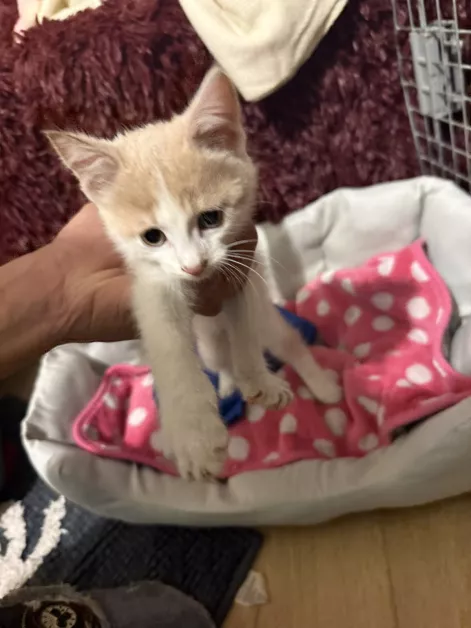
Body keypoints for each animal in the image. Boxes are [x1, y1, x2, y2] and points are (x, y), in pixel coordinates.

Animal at [47, 67, 342, 480]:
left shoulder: (244, 271)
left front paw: (259, 380)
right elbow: (169, 344)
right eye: (153, 237)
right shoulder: (152, 284)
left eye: (210, 218)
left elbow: (245, 332)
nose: (193, 265)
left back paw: (320, 385)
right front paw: (194, 434)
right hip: (210, 344)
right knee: (220, 358)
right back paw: (229, 384)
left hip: (268, 317)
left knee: (286, 341)